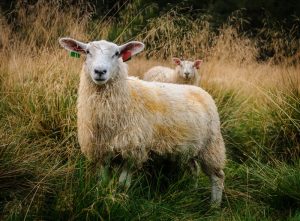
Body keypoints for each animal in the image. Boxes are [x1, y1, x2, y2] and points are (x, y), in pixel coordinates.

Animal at [58, 37, 226, 205]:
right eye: (87, 51)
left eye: (117, 53)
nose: (100, 71)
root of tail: (202, 91)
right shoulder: (102, 150)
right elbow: (103, 180)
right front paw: (102, 195)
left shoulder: (133, 151)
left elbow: (123, 184)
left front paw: (119, 201)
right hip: (190, 147)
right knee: (194, 169)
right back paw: (192, 191)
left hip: (211, 145)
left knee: (217, 176)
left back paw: (214, 205)